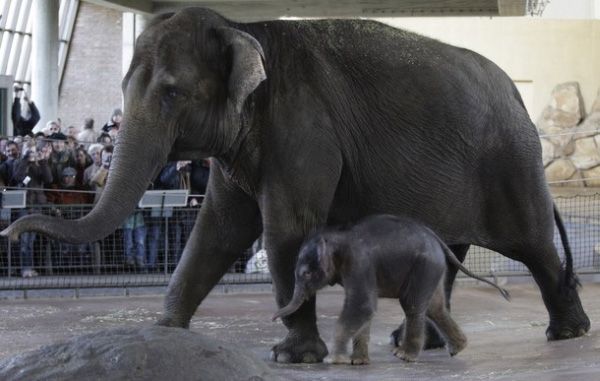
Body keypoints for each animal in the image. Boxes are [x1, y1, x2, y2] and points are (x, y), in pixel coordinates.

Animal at [274, 214, 508, 362]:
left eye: (306, 273)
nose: (273, 317)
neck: (335, 236)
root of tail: (438, 240)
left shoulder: (359, 264)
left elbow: (362, 306)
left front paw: (336, 359)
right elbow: (364, 310)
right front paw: (358, 362)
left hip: (423, 267)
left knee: (412, 305)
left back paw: (404, 356)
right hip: (432, 269)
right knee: (435, 308)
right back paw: (457, 350)